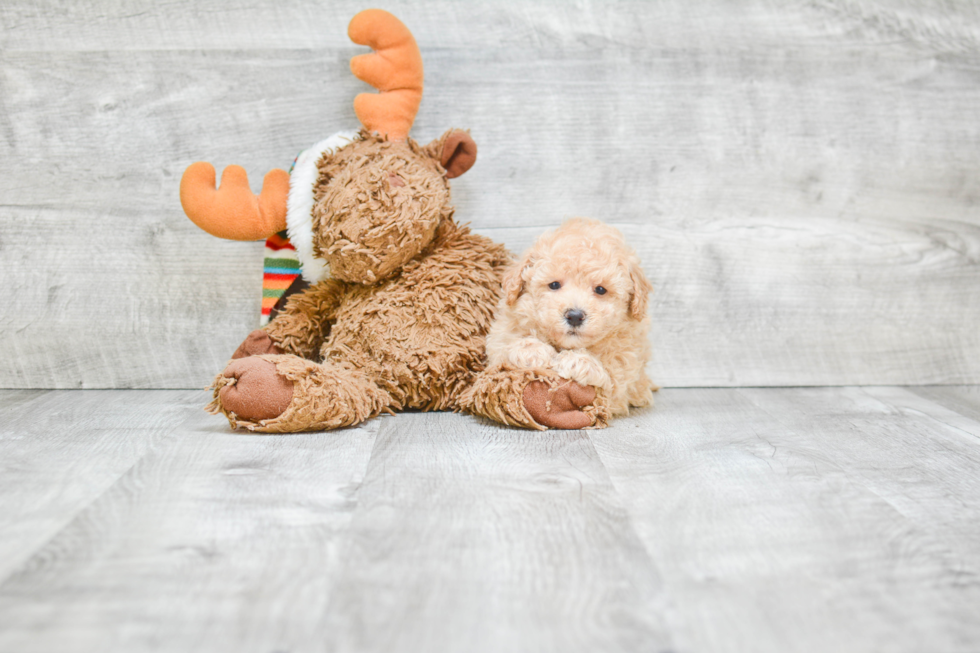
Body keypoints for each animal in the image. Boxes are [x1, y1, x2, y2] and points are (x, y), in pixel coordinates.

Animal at [486, 216, 656, 416]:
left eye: (600, 289)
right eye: (554, 285)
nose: (575, 316)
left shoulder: (626, 367)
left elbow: (611, 377)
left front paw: (579, 361)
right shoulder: (501, 336)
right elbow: (503, 349)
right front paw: (531, 350)